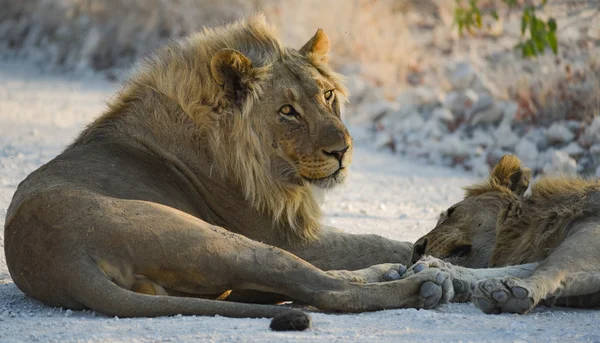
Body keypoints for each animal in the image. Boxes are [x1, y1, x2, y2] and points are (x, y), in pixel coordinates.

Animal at [4, 16, 452, 334]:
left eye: (327, 95)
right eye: (287, 111)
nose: (342, 150)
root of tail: (66, 259)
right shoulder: (285, 235)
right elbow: (378, 240)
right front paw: (432, 255)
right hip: (222, 240)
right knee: (324, 290)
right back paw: (424, 284)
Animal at [410, 156, 600, 318]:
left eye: (451, 211)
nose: (416, 248)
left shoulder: (591, 231)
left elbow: (550, 267)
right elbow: (517, 268)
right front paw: (439, 269)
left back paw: (507, 294)